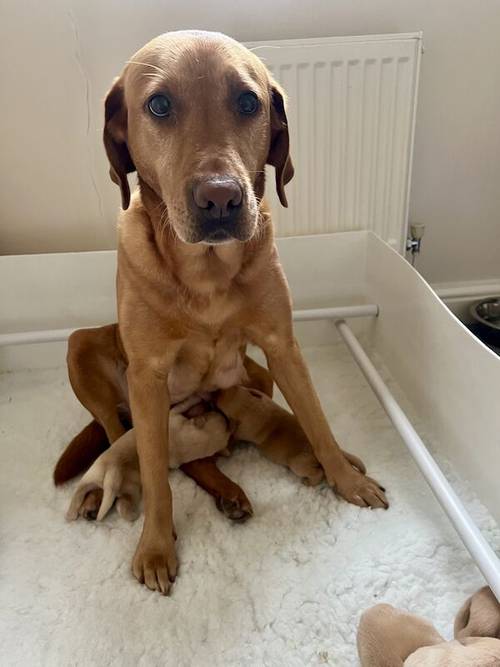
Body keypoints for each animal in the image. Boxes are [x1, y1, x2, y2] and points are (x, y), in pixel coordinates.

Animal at [56, 30, 388, 596]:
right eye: (159, 105)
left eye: (249, 102)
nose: (220, 198)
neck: (206, 274)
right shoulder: (148, 377)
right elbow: (154, 471)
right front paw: (156, 546)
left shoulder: (282, 347)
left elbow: (317, 422)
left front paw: (347, 480)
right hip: (83, 350)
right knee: (123, 437)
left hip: (256, 376)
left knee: (202, 450)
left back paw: (229, 488)